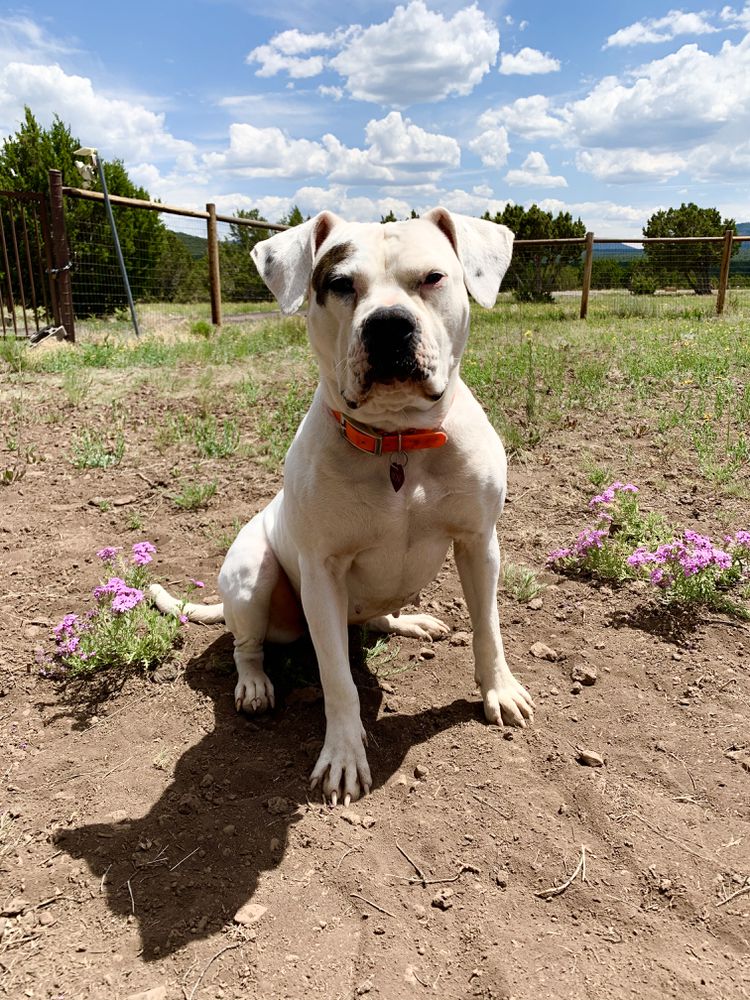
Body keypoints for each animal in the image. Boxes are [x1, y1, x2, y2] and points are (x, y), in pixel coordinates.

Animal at [150, 209, 536, 804]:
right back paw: (255, 684)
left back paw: (409, 622)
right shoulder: (322, 573)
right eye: (338, 284)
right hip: (253, 575)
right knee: (246, 643)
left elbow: (488, 628)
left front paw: (500, 690)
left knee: (376, 616)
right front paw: (343, 755)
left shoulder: (479, 544)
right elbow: (338, 678)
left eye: (433, 278)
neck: (398, 442)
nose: (388, 325)